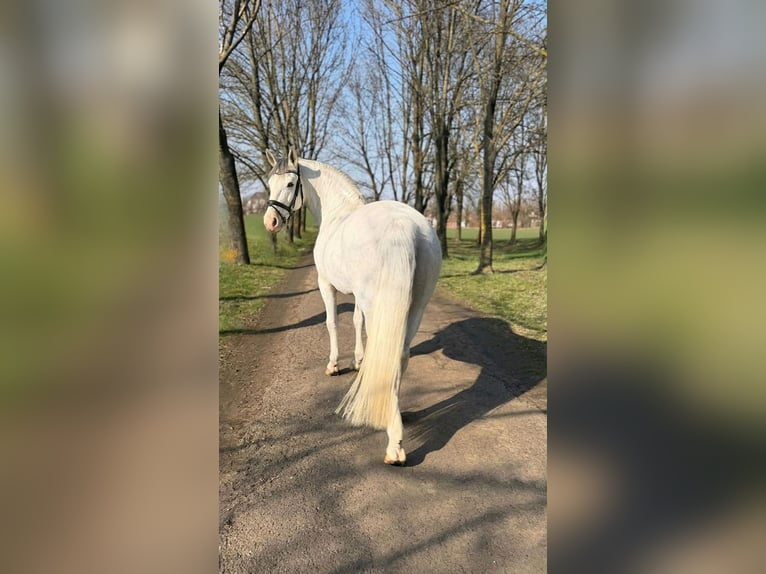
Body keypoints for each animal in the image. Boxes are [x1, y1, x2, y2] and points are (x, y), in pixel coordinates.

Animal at [263, 147, 442, 465]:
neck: (337, 213)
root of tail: (402, 226)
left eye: (290, 184)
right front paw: (358, 361)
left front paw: (334, 365)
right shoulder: (358, 295)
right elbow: (357, 322)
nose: (270, 222)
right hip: (416, 307)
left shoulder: (326, 284)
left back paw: (393, 443)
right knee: (400, 354)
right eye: (269, 184)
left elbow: (332, 322)